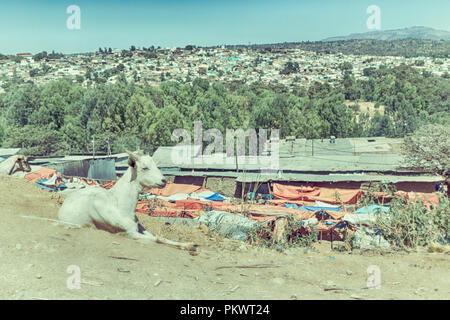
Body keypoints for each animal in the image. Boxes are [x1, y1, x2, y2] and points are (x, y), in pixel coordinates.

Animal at [57, 151, 197, 251]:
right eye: (145, 167)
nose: (164, 181)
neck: (118, 204)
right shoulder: (130, 233)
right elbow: (155, 239)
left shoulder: (138, 227)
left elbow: (159, 237)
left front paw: (190, 245)